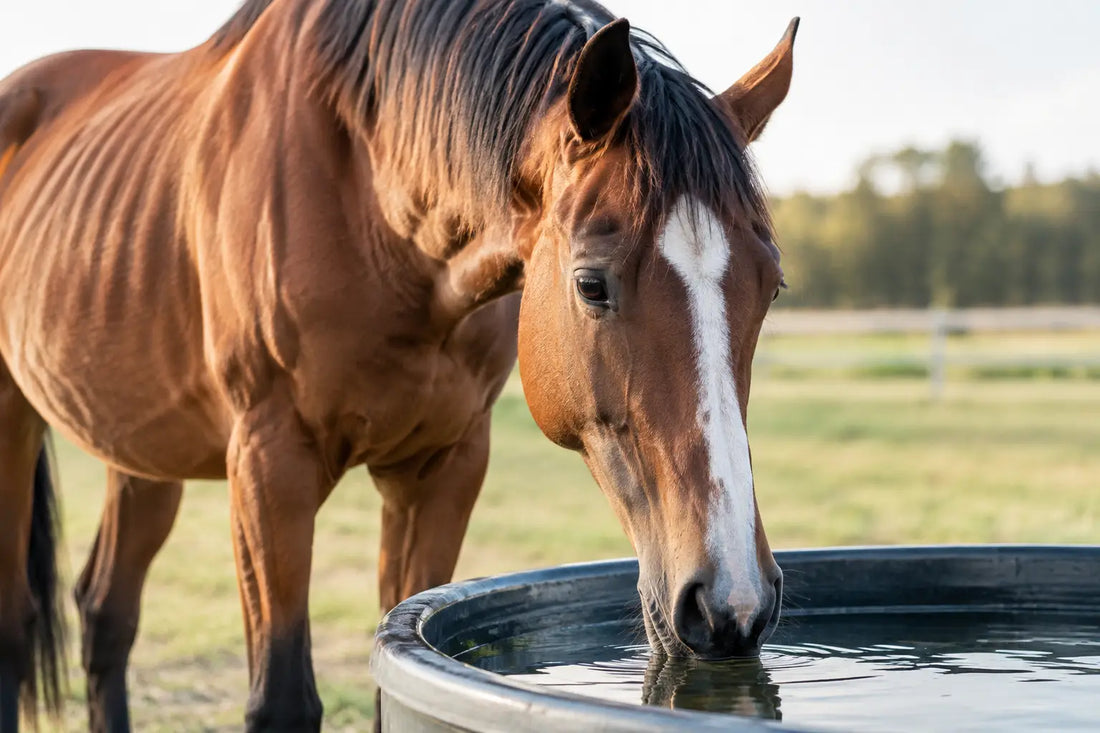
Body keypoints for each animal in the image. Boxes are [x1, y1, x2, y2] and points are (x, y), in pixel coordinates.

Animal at [0, 0, 797, 729]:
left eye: (772, 285)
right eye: (591, 284)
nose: (733, 602)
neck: (370, 200)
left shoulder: (441, 469)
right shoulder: (269, 463)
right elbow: (283, 699)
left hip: (140, 449)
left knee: (106, 615)